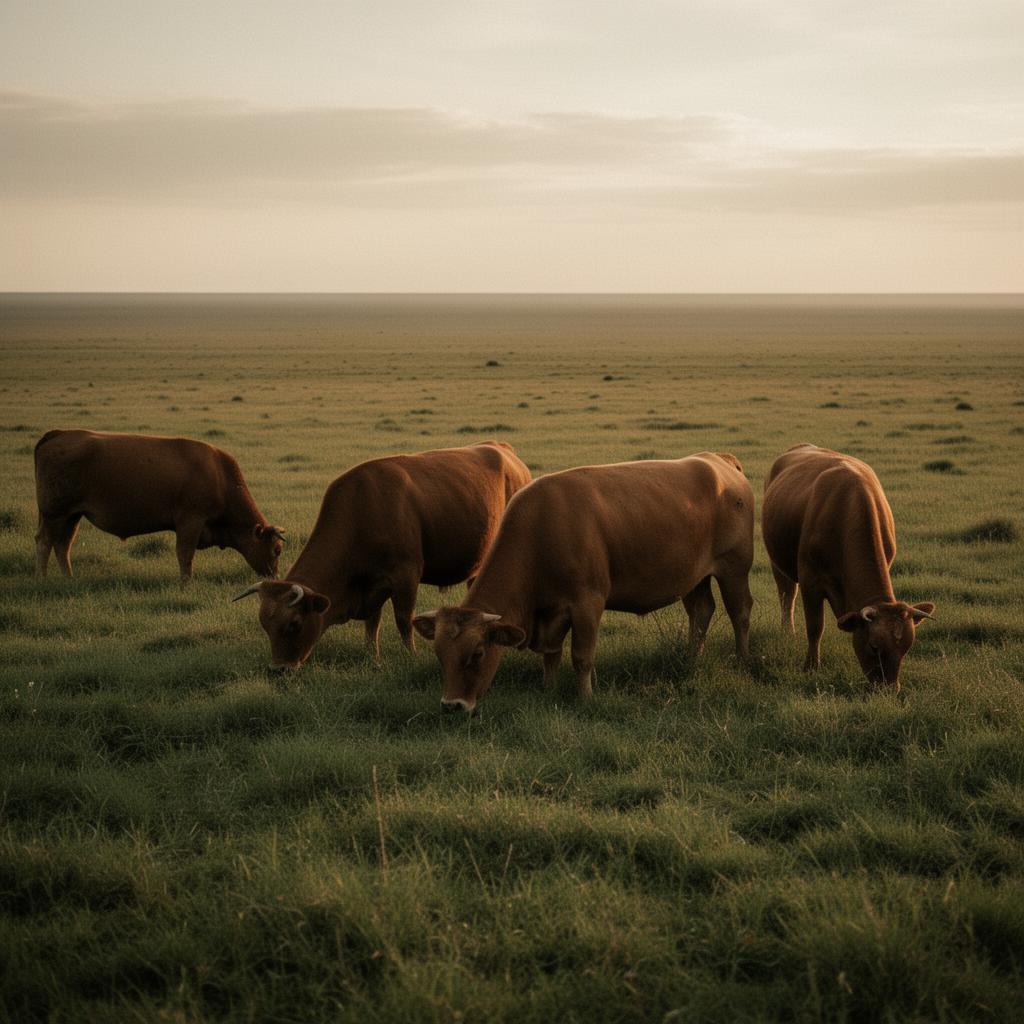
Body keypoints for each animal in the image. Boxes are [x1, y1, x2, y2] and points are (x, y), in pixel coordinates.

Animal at [34, 429, 285, 582]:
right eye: (277, 550)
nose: (274, 576)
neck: (220, 476)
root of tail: (59, 434)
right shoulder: (190, 522)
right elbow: (185, 554)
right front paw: (186, 583)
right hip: (55, 514)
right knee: (45, 542)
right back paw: (44, 579)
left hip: (71, 516)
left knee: (62, 545)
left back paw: (69, 578)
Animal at [232, 441, 532, 669]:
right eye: (265, 625)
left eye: (294, 624)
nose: (278, 669)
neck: (363, 510)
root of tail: (502, 449)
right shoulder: (372, 585)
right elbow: (372, 622)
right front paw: (371, 655)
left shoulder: (406, 575)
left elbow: (404, 620)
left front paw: (411, 655)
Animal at [412, 452, 755, 714]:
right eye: (440, 655)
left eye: (478, 654)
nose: (452, 705)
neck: (541, 529)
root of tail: (718, 461)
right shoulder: (551, 612)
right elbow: (551, 655)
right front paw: (548, 689)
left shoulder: (587, 603)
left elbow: (581, 655)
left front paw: (585, 696)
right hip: (694, 577)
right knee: (701, 611)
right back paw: (690, 658)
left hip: (734, 569)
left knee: (739, 613)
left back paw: (743, 659)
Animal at [761, 443, 935, 689]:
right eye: (874, 647)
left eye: (906, 648)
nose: (889, 689)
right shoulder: (810, 580)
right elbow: (815, 626)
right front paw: (811, 666)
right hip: (777, 561)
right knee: (786, 595)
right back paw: (788, 632)